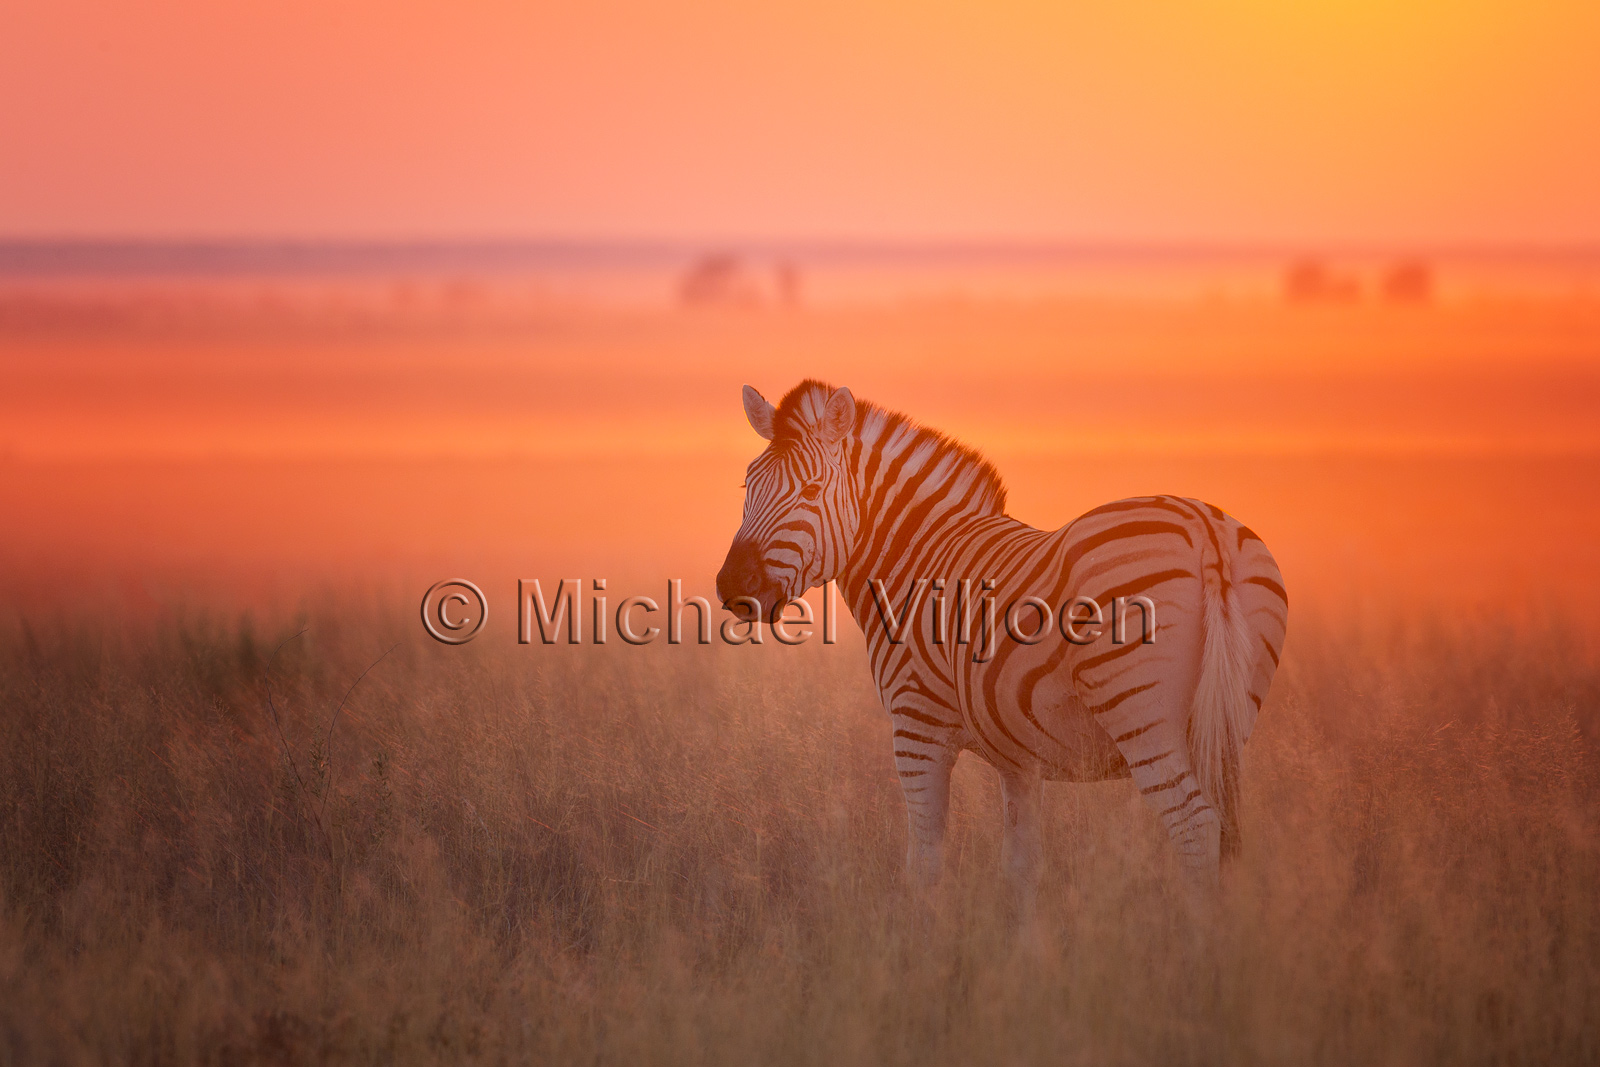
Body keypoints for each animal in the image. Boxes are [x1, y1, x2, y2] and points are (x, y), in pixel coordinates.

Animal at [716, 380, 1288, 914]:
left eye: (812, 491)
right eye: (747, 484)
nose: (732, 586)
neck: (916, 559)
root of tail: (1205, 530)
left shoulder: (916, 728)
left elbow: (924, 864)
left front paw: (918, 947)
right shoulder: (1019, 757)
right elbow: (1021, 868)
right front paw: (1022, 949)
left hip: (1140, 714)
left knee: (1194, 826)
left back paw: (1198, 947)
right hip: (1228, 719)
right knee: (1222, 828)